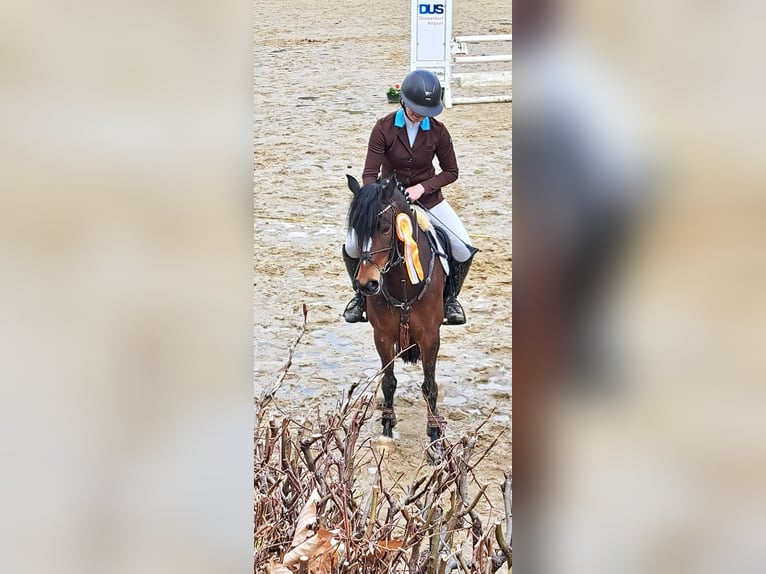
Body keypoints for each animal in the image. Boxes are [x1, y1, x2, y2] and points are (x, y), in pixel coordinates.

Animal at [348, 173, 450, 462]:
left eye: (385, 228)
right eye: (355, 229)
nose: (367, 284)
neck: (403, 281)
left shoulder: (430, 336)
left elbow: (429, 385)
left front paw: (435, 439)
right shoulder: (382, 335)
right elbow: (389, 382)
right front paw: (386, 431)